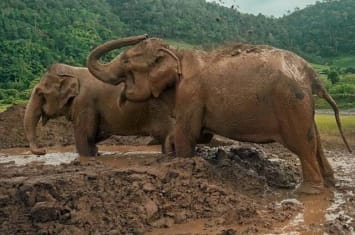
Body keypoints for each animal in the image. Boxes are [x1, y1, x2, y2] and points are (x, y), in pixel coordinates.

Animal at [24, 63, 211, 157]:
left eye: (40, 93)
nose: (42, 151)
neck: (73, 71)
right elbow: (95, 132)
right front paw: (95, 153)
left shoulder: (85, 103)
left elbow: (84, 133)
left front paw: (87, 156)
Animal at [87, 35, 352, 193]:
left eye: (126, 61)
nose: (143, 34)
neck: (177, 54)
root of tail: (310, 73)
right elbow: (195, 134)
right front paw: (170, 153)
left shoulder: (191, 94)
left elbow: (188, 133)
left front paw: (183, 161)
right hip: (302, 106)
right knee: (315, 142)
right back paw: (330, 184)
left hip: (290, 103)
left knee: (303, 147)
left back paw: (308, 192)